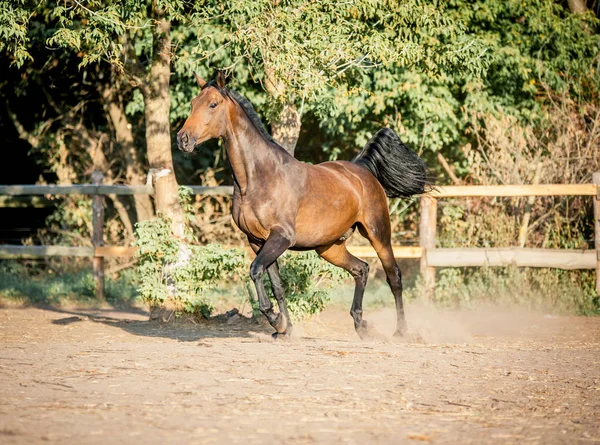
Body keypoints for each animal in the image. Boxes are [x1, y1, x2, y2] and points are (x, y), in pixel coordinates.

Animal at [176, 73, 428, 338]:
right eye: (193, 103)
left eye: (213, 104)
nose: (183, 139)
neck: (259, 178)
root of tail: (362, 169)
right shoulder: (257, 241)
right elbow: (277, 285)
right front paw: (284, 329)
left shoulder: (281, 237)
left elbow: (255, 270)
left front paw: (275, 320)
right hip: (329, 247)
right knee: (361, 269)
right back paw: (361, 325)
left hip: (378, 234)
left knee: (394, 276)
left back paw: (401, 331)